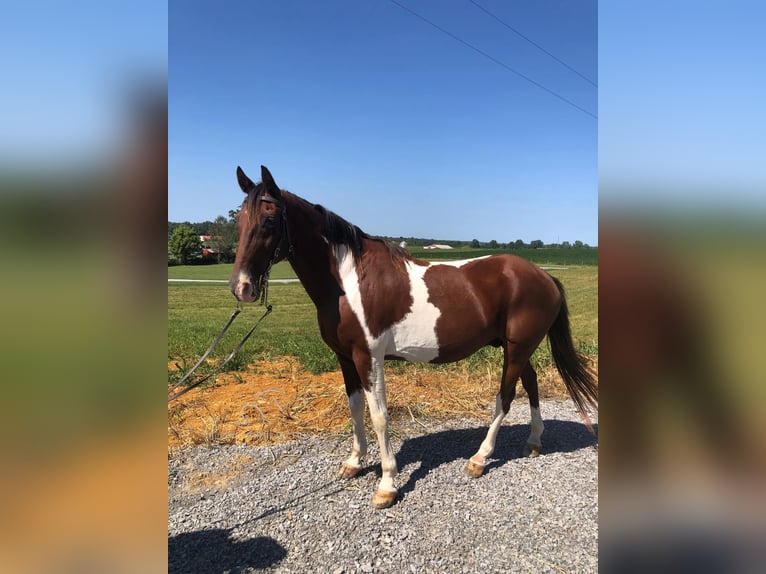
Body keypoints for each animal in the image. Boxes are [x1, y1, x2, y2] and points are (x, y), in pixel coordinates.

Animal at [228, 165, 600, 508]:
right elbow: (355, 408)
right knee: (532, 382)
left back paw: (479, 459)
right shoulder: (345, 357)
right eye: (239, 221)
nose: (241, 287)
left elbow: (379, 416)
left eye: (270, 220)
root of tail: (544, 276)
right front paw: (354, 462)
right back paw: (534, 441)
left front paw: (387, 484)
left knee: (505, 398)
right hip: (516, 347)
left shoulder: (368, 357)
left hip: (518, 347)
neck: (348, 282)